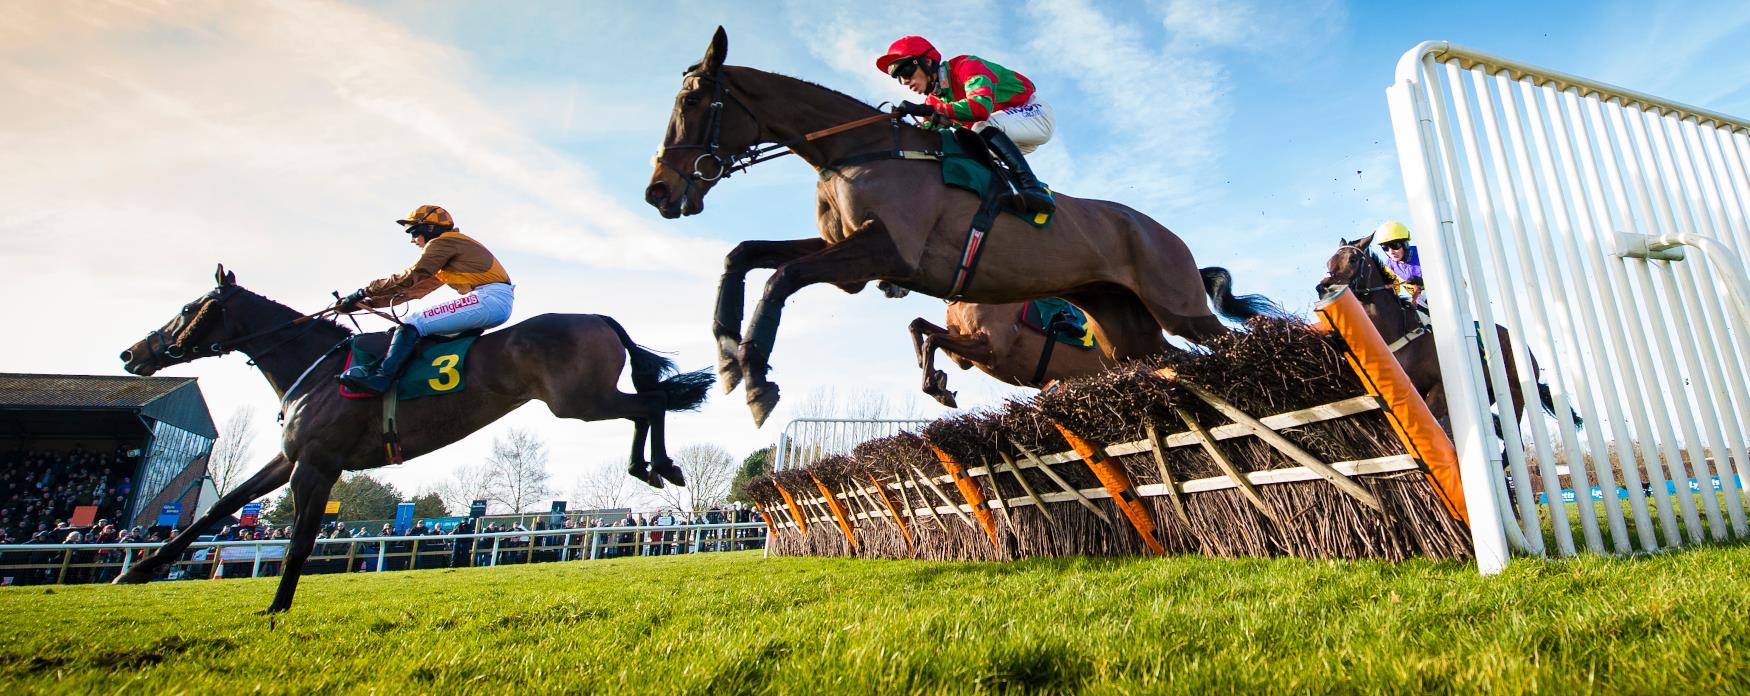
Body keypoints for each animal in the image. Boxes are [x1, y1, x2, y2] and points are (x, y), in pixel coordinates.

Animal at [112, 264, 710, 612]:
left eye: (188, 308)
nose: (132, 352)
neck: (317, 365)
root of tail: (603, 318)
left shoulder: (320, 461)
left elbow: (302, 538)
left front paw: (276, 608)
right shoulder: (292, 458)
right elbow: (223, 506)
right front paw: (137, 570)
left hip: (579, 402)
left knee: (652, 403)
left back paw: (658, 466)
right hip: (585, 400)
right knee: (649, 405)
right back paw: (652, 467)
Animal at [917, 267, 1288, 407]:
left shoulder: (992, 347)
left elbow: (933, 339)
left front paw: (937, 386)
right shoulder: (967, 357)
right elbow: (921, 328)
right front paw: (937, 381)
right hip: (1144, 349)